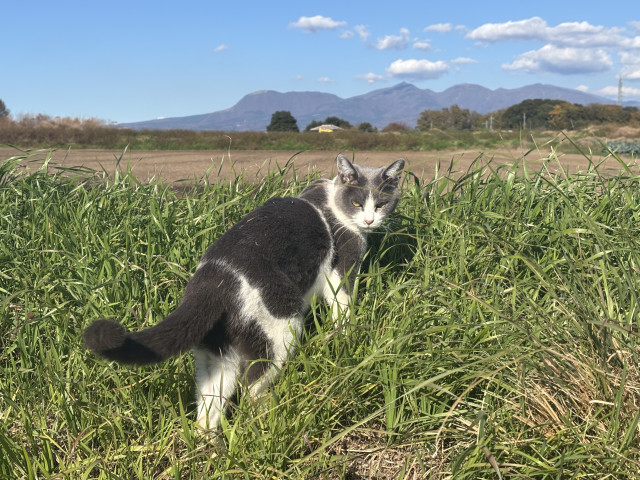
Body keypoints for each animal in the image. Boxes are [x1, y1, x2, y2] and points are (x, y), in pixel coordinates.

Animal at [84, 155, 404, 432]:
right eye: (357, 202)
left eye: (382, 204)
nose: (369, 221)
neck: (331, 200)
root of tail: (211, 281)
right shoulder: (342, 266)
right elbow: (344, 305)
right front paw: (348, 340)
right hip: (280, 331)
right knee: (251, 390)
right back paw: (271, 421)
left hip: (216, 353)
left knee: (209, 408)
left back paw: (212, 449)